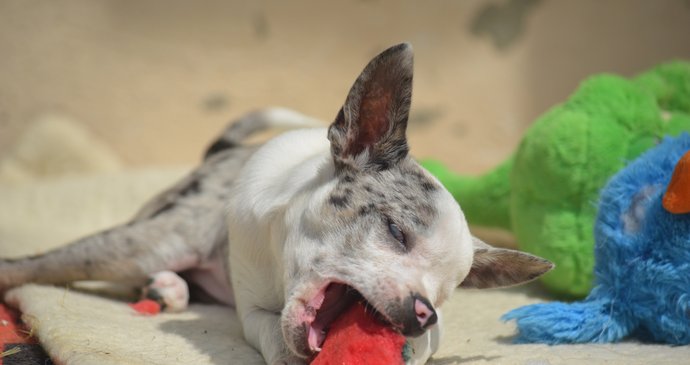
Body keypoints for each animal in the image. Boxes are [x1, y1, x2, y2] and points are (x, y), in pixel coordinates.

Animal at [0, 44, 552, 362]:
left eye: (446, 295)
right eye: (397, 232)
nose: (423, 314)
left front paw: (412, 345)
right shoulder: (242, 302)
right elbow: (29, 265)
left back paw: (169, 289)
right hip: (144, 241)